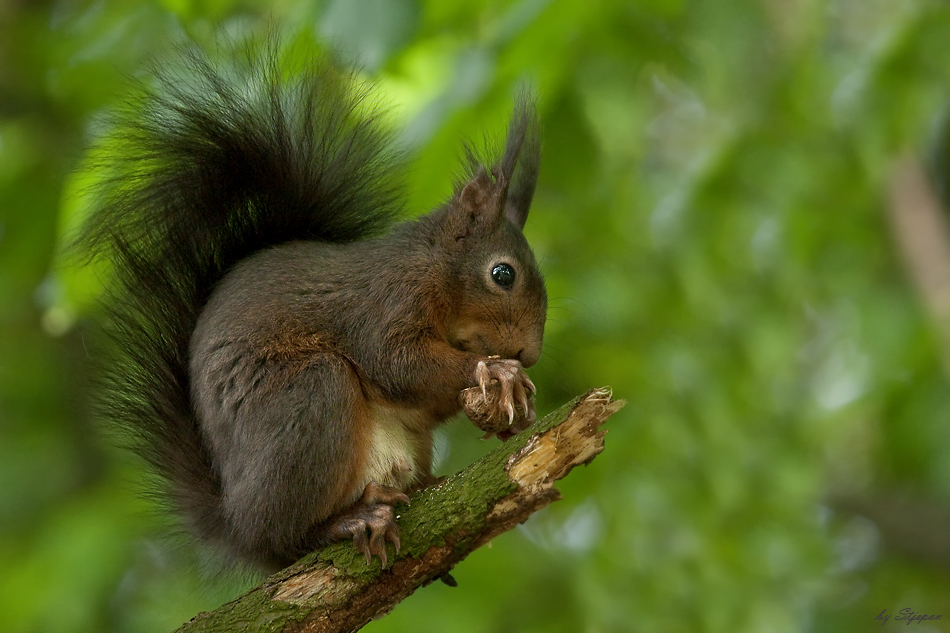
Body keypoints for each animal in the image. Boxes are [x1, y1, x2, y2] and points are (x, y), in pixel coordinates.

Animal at [80, 42, 552, 572]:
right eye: (502, 274)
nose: (530, 353)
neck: (434, 268)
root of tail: (235, 521)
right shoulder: (384, 303)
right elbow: (396, 363)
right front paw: (496, 373)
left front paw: (511, 412)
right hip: (308, 397)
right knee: (284, 536)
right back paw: (349, 521)